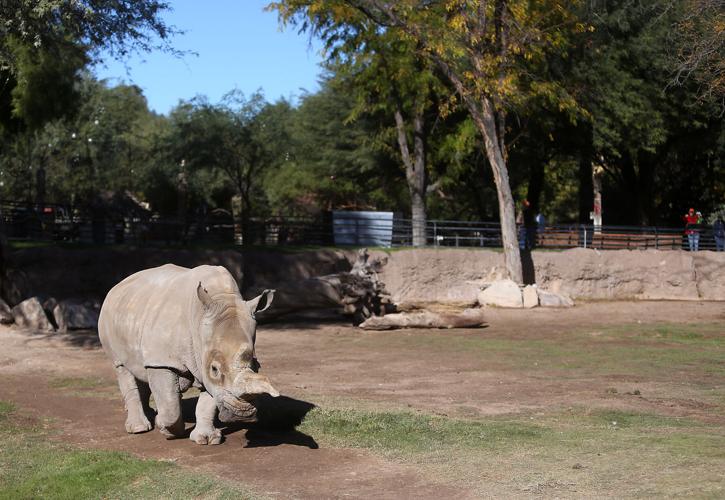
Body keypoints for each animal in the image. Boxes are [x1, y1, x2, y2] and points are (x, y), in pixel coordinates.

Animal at [98, 264, 277, 445]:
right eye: (215, 369)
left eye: (257, 365)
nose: (243, 414)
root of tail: (118, 285)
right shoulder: (161, 361)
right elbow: (170, 406)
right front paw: (165, 429)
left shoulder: (203, 357)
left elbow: (207, 402)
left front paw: (206, 439)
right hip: (108, 319)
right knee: (122, 368)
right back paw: (139, 428)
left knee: (140, 370)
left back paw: (148, 416)